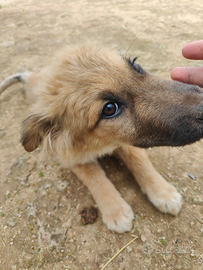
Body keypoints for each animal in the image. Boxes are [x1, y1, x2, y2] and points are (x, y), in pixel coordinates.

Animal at [1, 43, 203, 232]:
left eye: (136, 66)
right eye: (109, 109)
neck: (102, 143)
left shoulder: (125, 143)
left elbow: (139, 161)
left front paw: (163, 192)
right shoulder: (73, 158)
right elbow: (96, 179)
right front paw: (115, 210)